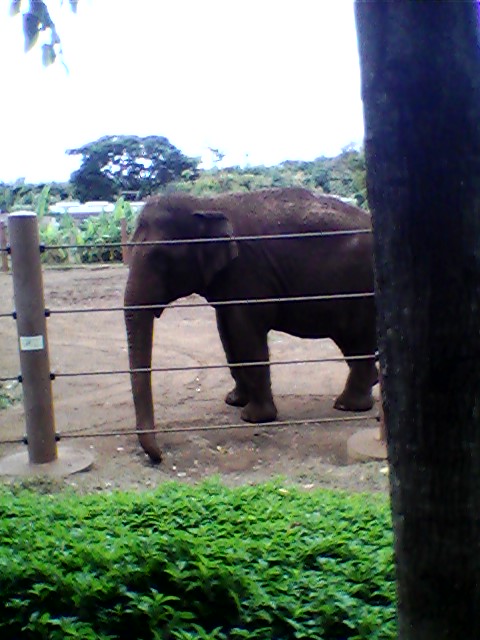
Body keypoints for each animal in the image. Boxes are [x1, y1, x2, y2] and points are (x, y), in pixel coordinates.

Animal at [124, 187, 377, 462]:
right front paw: (234, 400)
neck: (206, 204)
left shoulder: (247, 274)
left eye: (161, 258)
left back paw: (347, 405)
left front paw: (253, 417)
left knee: (357, 341)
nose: (160, 456)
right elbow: (227, 335)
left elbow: (245, 334)